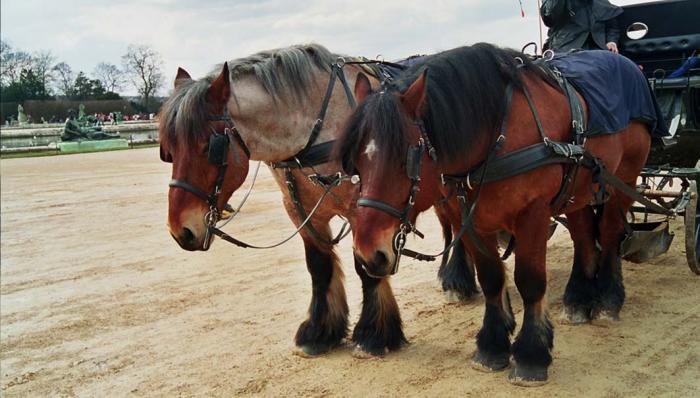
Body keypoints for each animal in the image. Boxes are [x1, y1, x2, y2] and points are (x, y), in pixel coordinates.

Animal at [157, 43, 482, 358]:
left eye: (208, 146)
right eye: (168, 149)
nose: (180, 231)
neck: (315, 128)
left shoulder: (362, 207)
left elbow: (364, 266)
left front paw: (373, 335)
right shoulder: (300, 211)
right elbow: (319, 266)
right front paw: (319, 332)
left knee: (457, 225)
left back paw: (458, 281)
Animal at [336, 43, 652, 386]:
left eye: (406, 157)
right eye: (355, 161)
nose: (369, 255)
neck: (497, 134)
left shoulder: (533, 214)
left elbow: (530, 281)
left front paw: (531, 355)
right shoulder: (472, 218)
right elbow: (490, 278)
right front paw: (492, 345)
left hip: (624, 177)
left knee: (609, 232)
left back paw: (609, 297)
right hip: (578, 190)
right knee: (583, 237)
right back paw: (579, 299)